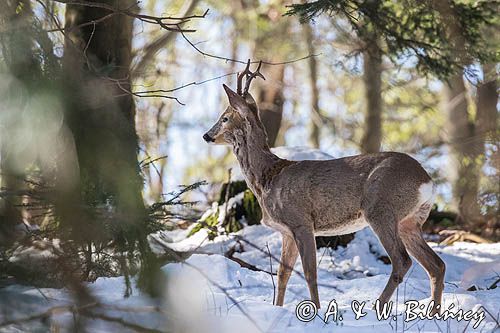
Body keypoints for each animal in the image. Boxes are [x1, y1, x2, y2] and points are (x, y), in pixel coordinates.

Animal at [203, 61, 446, 312]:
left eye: (224, 117)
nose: (206, 136)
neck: (267, 177)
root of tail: (427, 181)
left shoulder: (300, 220)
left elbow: (310, 272)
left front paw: (317, 310)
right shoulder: (286, 231)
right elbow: (282, 274)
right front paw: (278, 308)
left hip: (382, 208)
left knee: (402, 260)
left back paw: (377, 307)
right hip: (410, 221)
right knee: (437, 265)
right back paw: (434, 312)